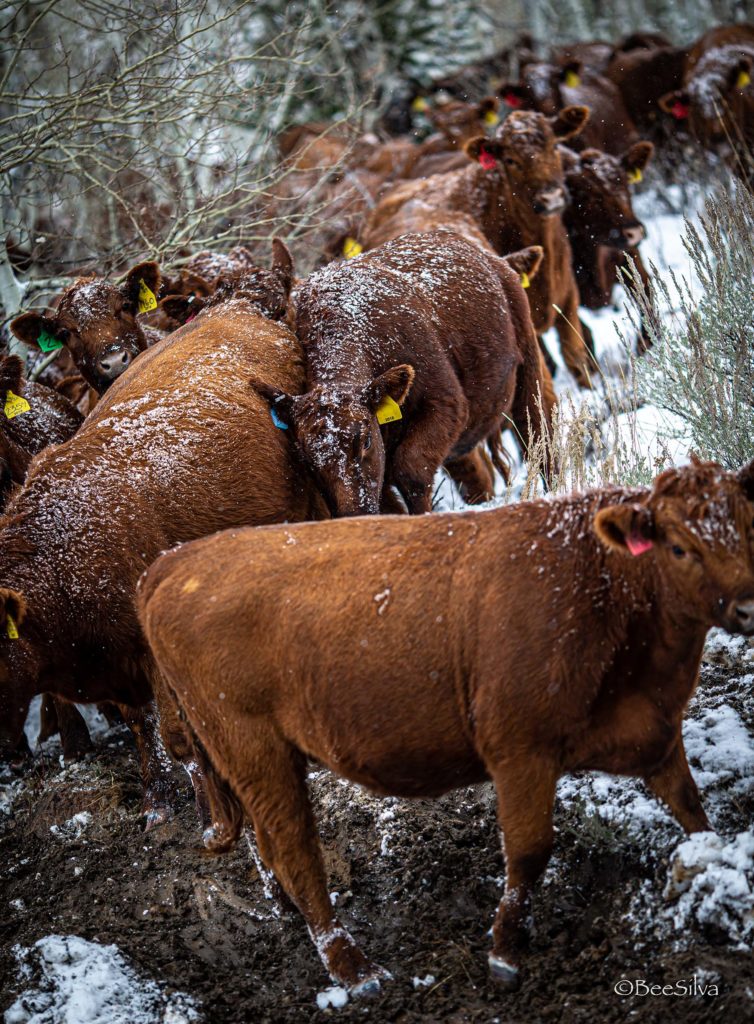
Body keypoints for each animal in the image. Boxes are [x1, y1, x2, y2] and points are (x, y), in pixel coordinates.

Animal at [138, 458, 754, 999]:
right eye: (680, 546)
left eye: (748, 524)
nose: (748, 606)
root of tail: (173, 562)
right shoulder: (520, 752)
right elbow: (529, 850)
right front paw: (504, 952)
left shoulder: (657, 736)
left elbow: (694, 813)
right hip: (252, 746)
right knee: (295, 849)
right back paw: (354, 970)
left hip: (252, 755)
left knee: (267, 841)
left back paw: (291, 913)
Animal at [253, 234, 553, 520]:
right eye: (308, 460)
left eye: (365, 441)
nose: (354, 513)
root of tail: (496, 260)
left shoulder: (447, 404)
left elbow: (411, 470)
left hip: (529, 372)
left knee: (540, 436)